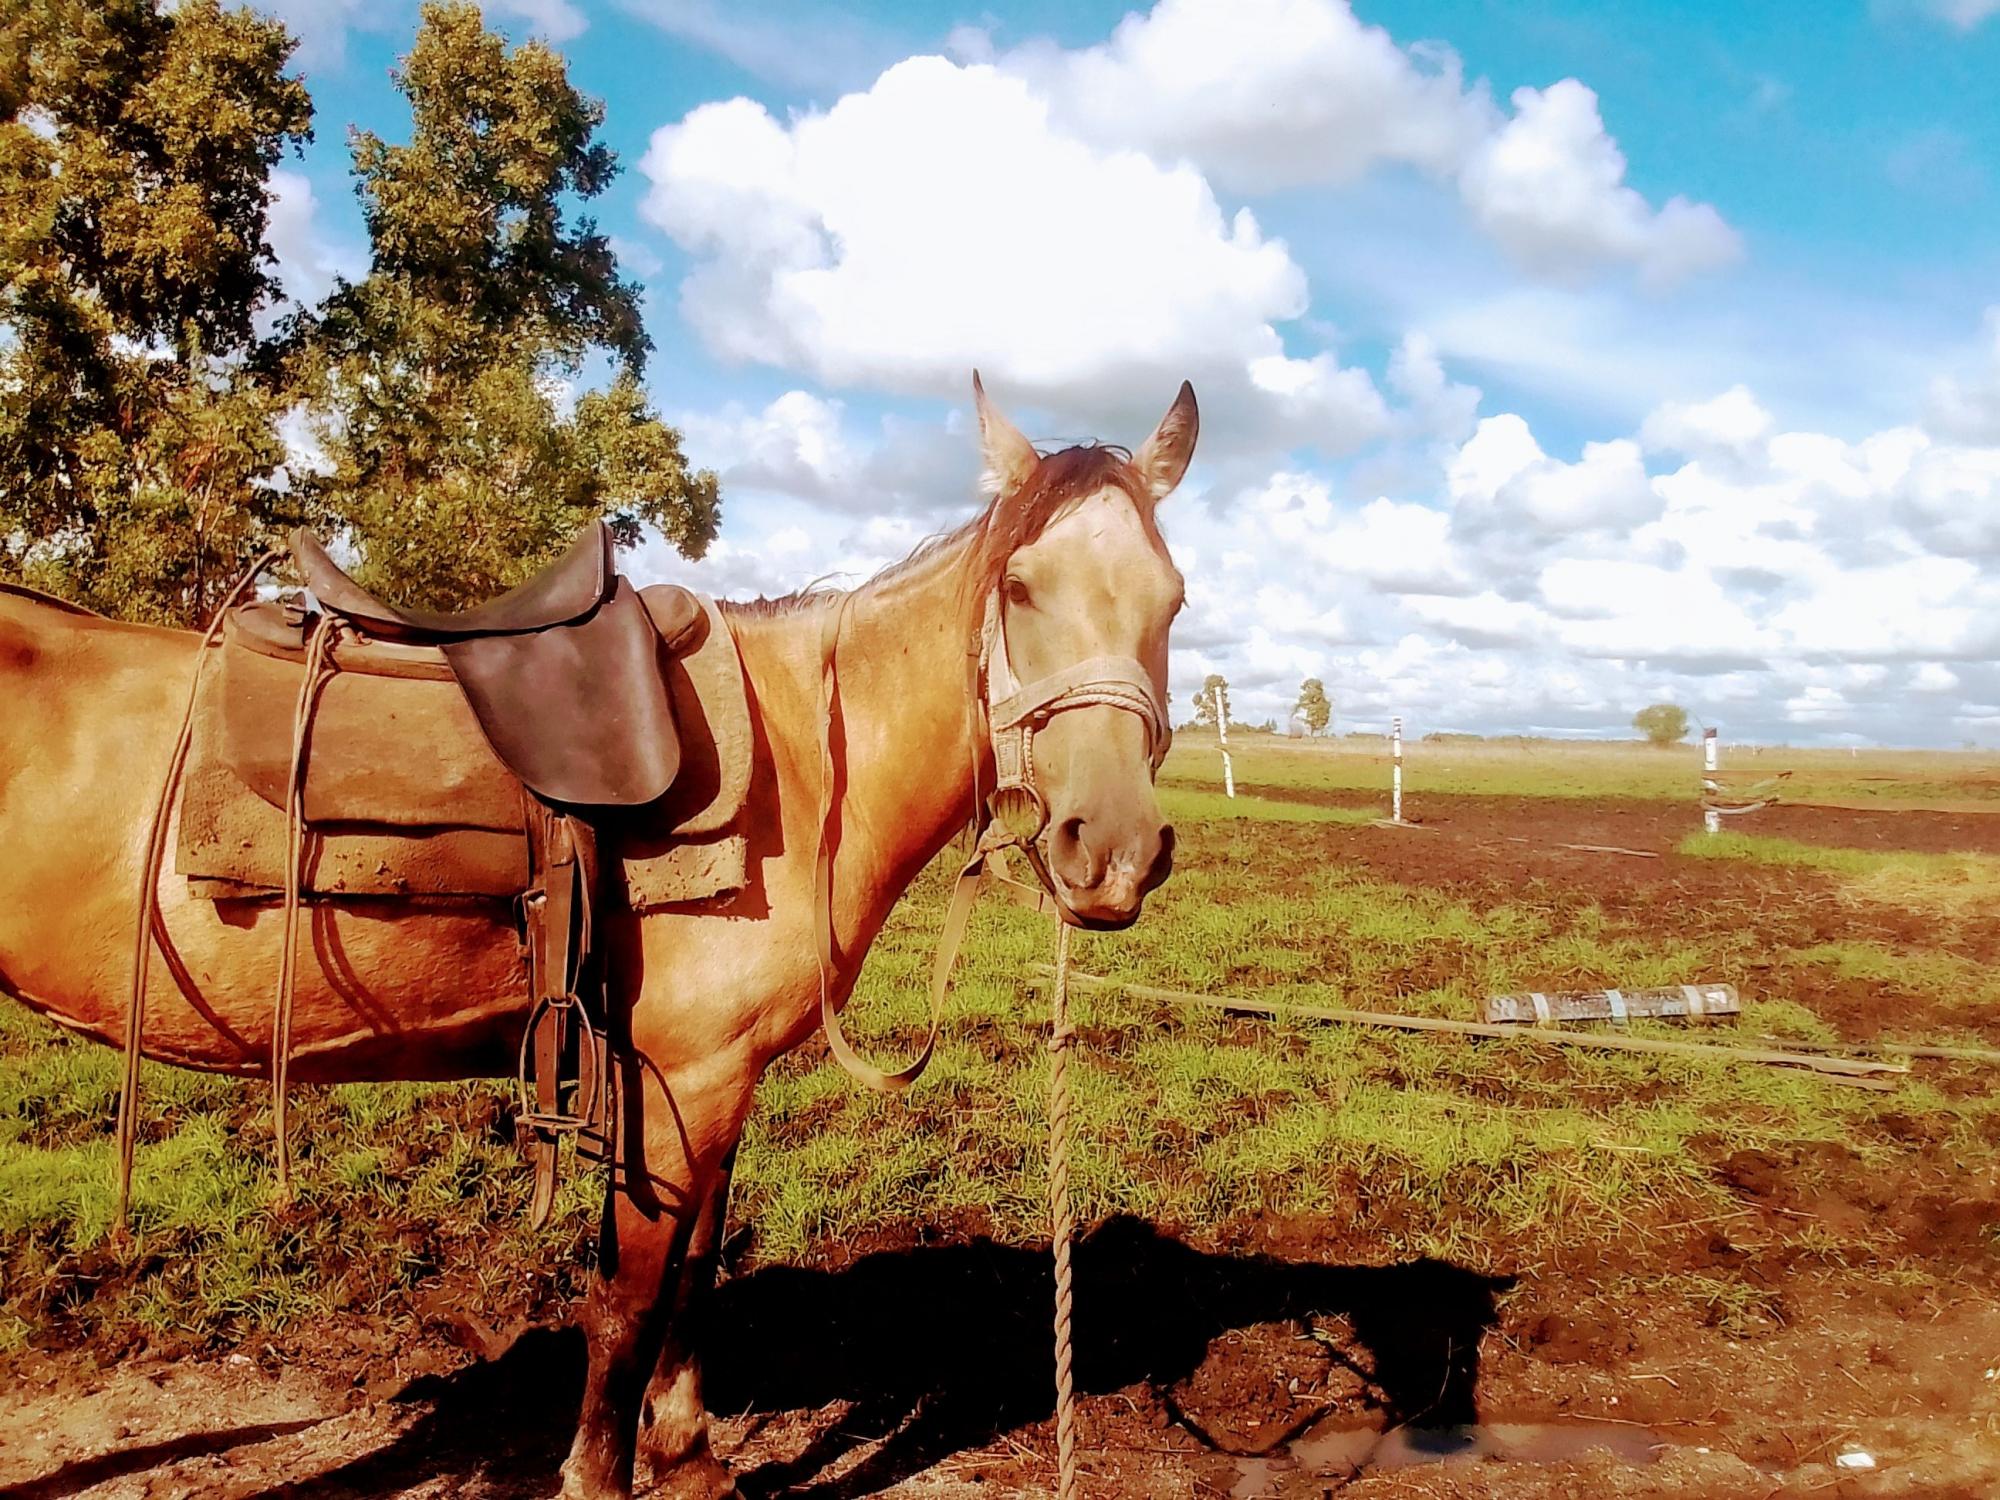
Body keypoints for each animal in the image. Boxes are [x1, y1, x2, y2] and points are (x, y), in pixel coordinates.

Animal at [0, 370, 1192, 1496]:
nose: (1112, 851)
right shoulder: (684, 1080)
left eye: (1173, 601)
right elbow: (629, 1294)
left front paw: (691, 1455)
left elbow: (695, 1271)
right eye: (1020, 588)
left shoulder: (717, 1083)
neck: (803, 766)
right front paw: (604, 1474)